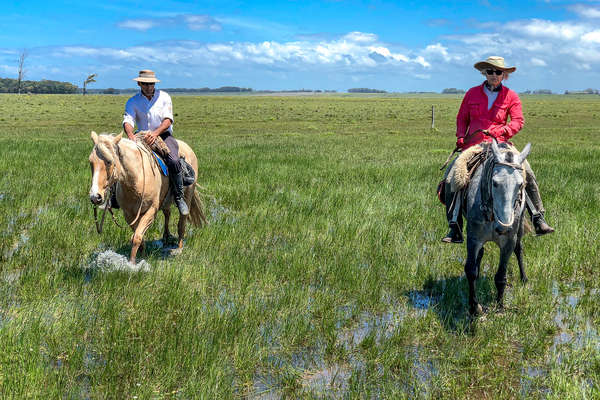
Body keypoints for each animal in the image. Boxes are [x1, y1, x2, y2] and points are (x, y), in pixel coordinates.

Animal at [88, 131, 207, 262]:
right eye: (91, 162)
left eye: (109, 162)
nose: (95, 197)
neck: (136, 178)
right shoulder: (129, 214)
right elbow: (138, 236)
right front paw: (142, 255)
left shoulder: (151, 211)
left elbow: (137, 237)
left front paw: (132, 263)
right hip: (165, 200)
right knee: (167, 213)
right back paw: (166, 237)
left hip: (188, 195)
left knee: (182, 220)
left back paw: (179, 248)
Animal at [462, 141, 532, 316]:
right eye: (494, 182)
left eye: (520, 184)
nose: (503, 227)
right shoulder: (473, 238)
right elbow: (470, 271)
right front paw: (474, 307)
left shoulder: (508, 242)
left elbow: (501, 276)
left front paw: (500, 306)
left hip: (519, 230)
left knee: (519, 249)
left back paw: (524, 278)